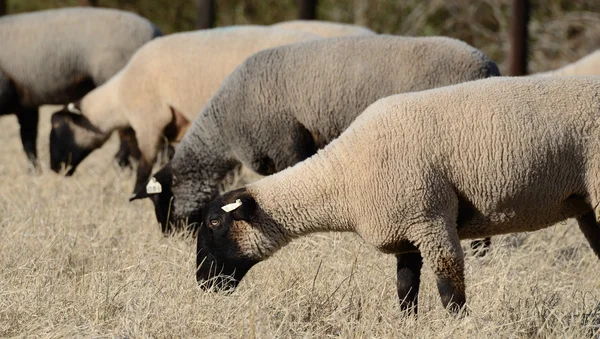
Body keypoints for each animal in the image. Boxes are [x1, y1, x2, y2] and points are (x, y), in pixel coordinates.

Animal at [0, 7, 162, 173]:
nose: (57, 168)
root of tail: (155, 31)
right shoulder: (26, 105)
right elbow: (28, 140)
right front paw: (35, 171)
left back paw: (120, 164)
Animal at [49, 26, 322, 195]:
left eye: (60, 129)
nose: (54, 169)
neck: (118, 99)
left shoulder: (150, 121)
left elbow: (145, 163)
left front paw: (136, 193)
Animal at [195, 76, 600, 316]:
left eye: (214, 221)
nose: (202, 284)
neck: (342, 178)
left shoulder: (430, 218)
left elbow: (449, 286)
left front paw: (458, 325)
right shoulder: (404, 229)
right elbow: (406, 289)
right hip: (586, 205)